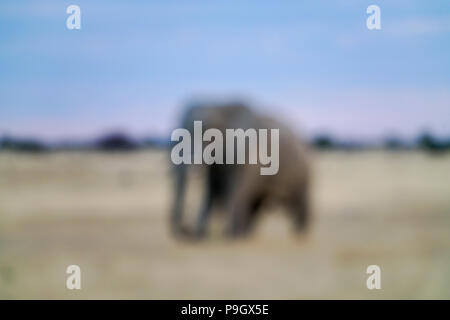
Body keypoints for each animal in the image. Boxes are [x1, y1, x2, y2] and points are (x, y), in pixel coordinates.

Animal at [169, 101, 310, 239]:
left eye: (209, 137)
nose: (184, 229)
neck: (220, 106)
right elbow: (212, 187)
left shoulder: (249, 155)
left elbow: (236, 188)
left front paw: (230, 234)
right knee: (257, 203)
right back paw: (247, 232)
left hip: (302, 170)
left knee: (299, 201)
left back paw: (299, 235)